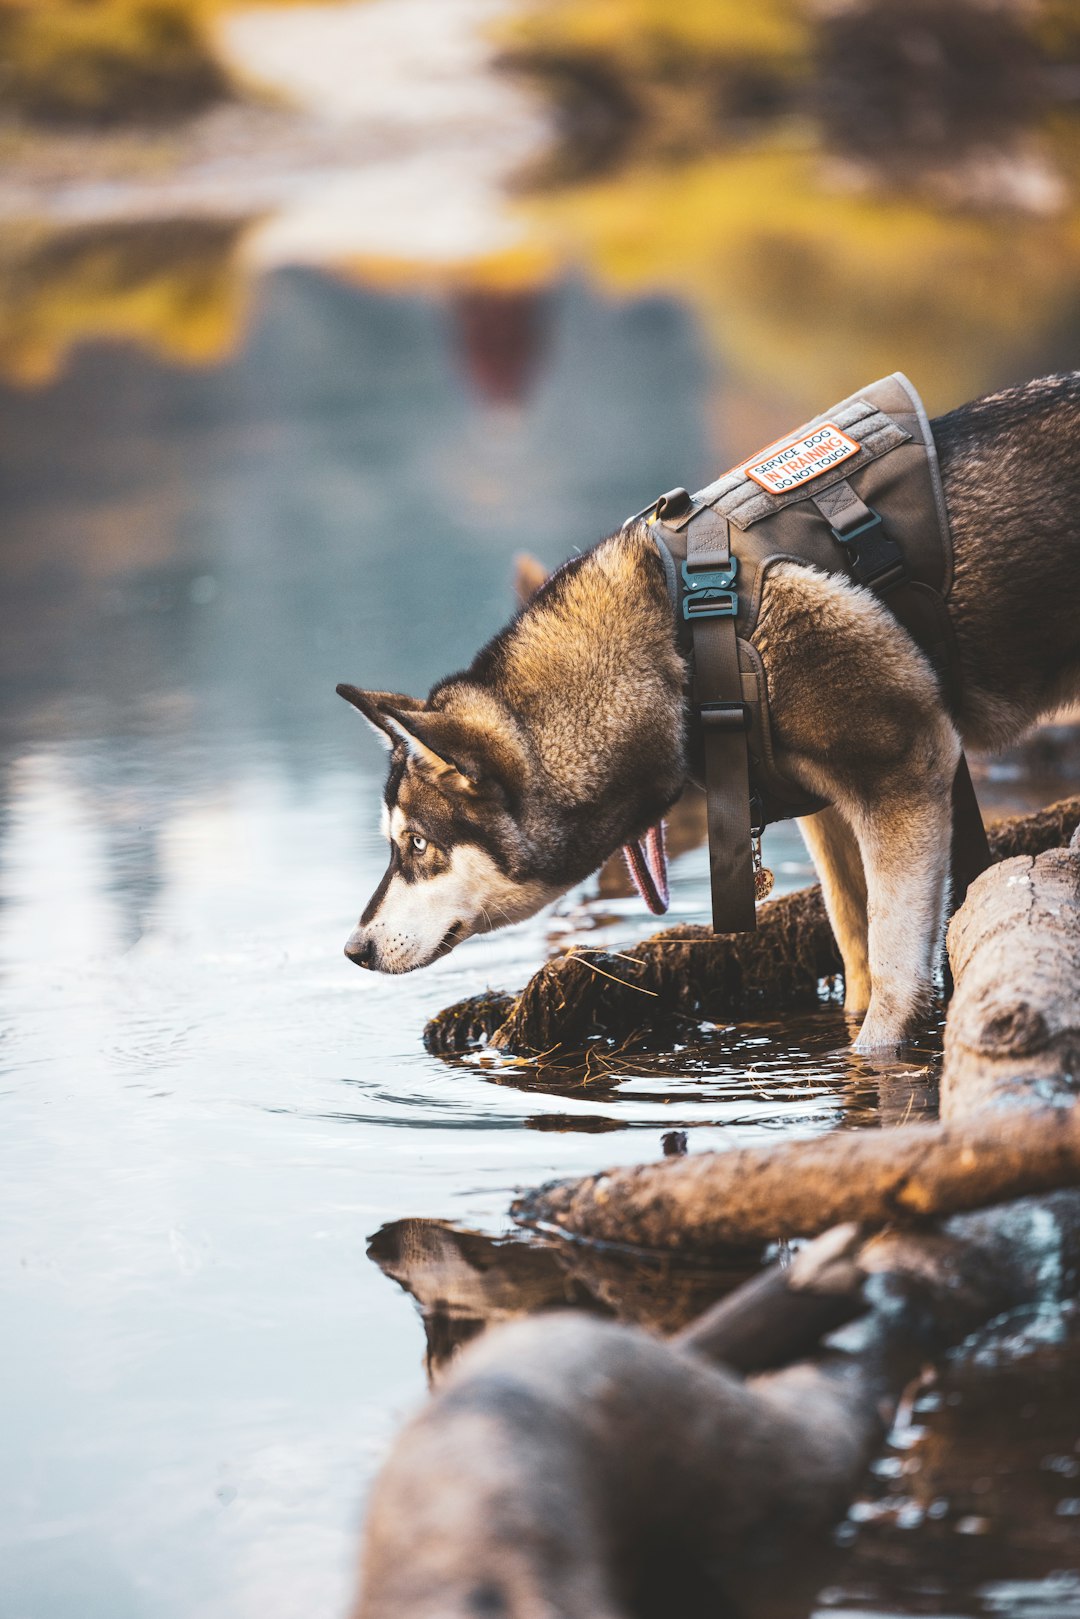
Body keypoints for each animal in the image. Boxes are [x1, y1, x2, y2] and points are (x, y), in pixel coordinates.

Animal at [338, 373, 1080, 1055]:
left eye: (417, 844)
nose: (353, 949)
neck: (678, 641)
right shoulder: (829, 812)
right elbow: (857, 947)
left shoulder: (906, 774)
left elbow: (894, 974)